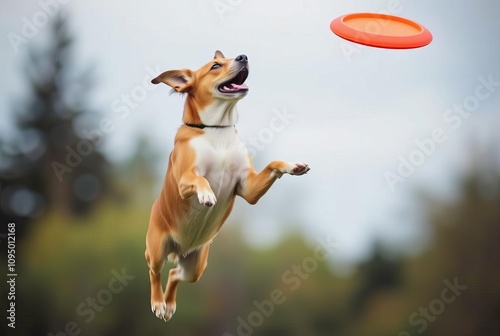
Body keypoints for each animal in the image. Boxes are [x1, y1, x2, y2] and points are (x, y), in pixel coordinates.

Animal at [144, 50, 308, 320]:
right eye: (215, 66)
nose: (243, 56)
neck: (216, 131)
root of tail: (181, 249)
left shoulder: (247, 187)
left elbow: (272, 164)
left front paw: (292, 166)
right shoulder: (185, 179)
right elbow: (200, 179)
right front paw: (207, 194)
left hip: (196, 266)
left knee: (174, 274)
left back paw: (169, 305)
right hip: (157, 249)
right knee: (155, 272)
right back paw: (158, 303)